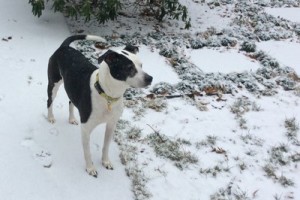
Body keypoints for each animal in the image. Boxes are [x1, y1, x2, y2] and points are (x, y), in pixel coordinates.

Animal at [48, 35, 155, 177]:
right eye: (129, 68)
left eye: (141, 65)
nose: (150, 78)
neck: (107, 95)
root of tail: (64, 47)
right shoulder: (86, 129)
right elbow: (87, 152)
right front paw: (90, 168)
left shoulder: (111, 124)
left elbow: (106, 146)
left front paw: (105, 162)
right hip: (53, 83)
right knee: (49, 101)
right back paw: (50, 117)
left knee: (71, 101)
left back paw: (71, 119)